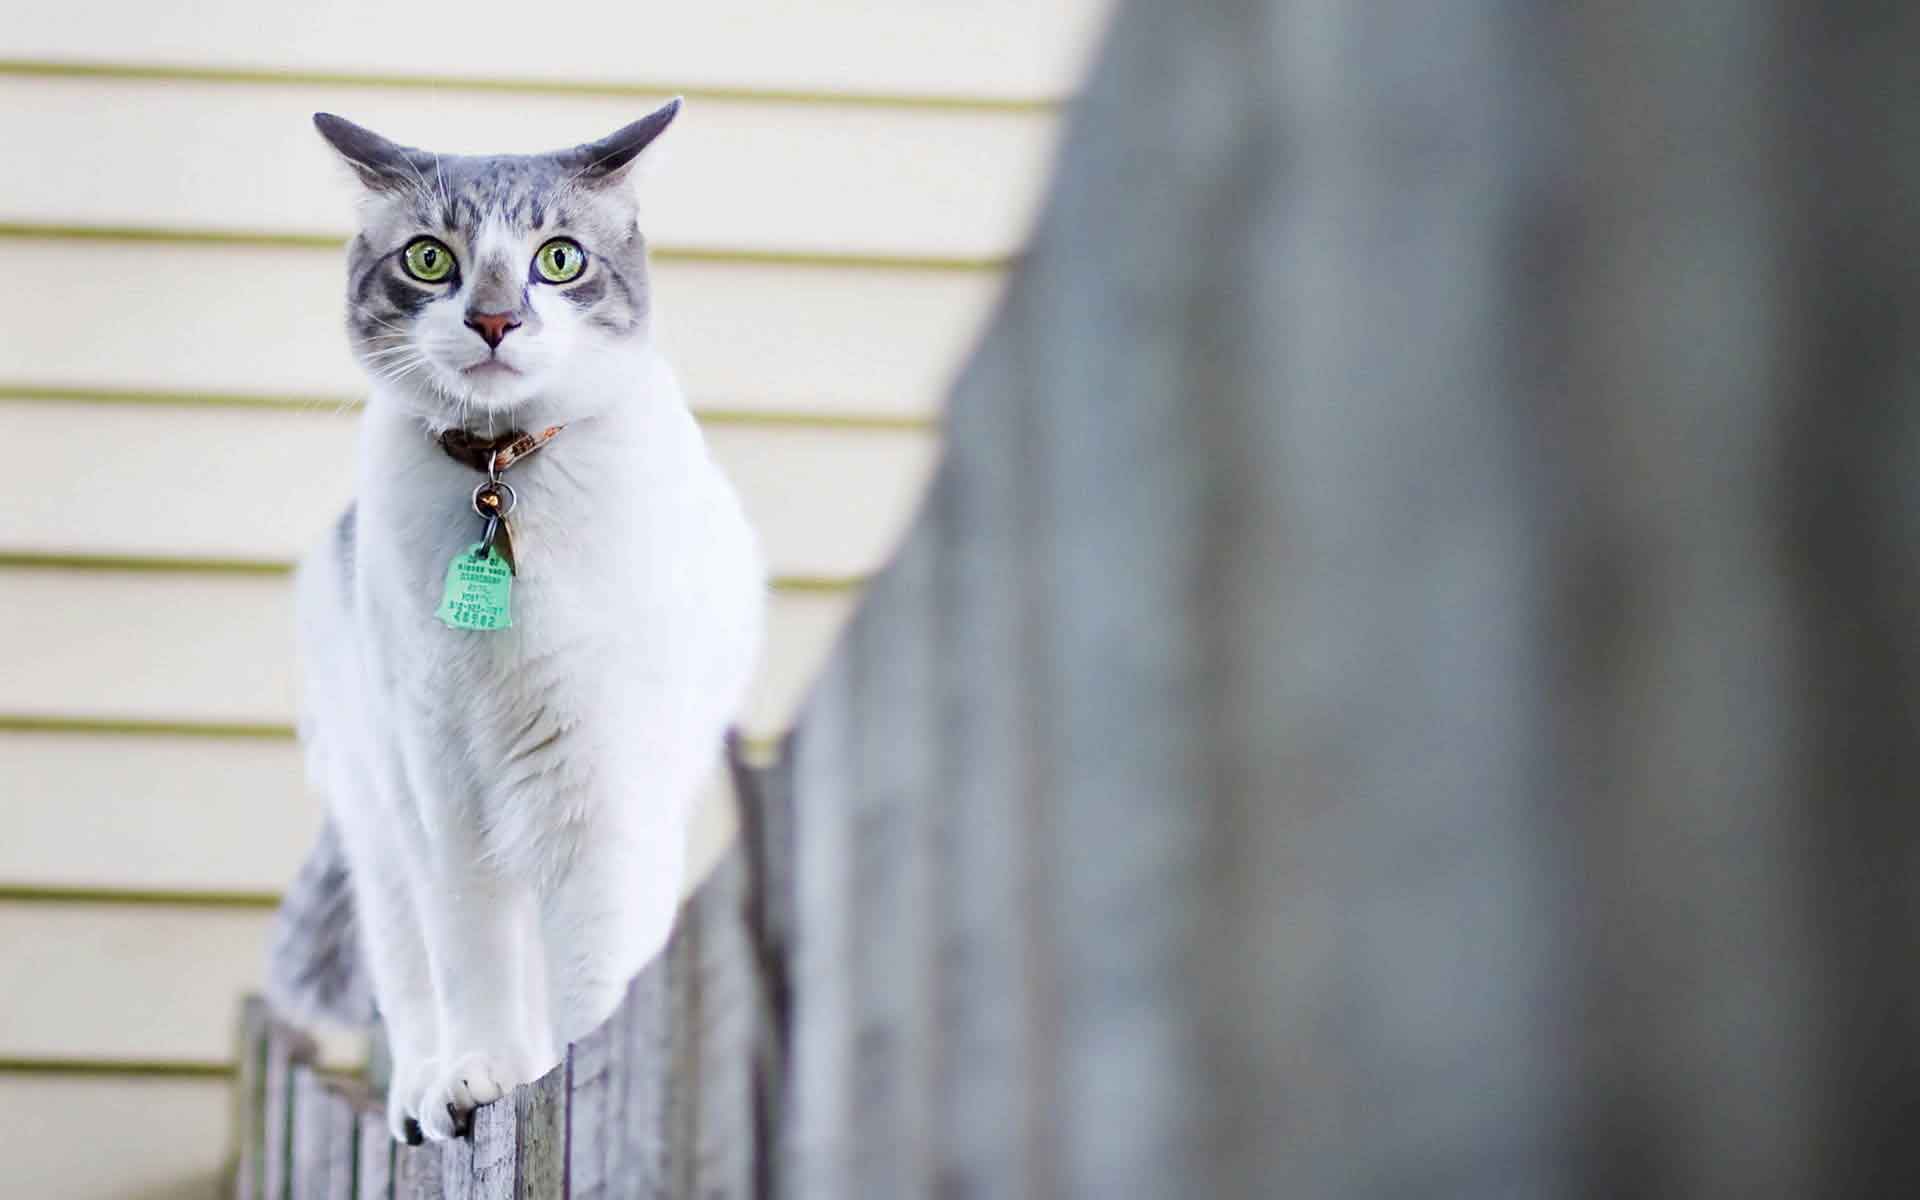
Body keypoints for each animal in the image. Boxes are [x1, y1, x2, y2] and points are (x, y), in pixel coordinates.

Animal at [270, 102, 764, 1144]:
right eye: (430, 260)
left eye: (559, 260)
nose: (496, 320)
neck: (501, 478)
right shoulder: (442, 781)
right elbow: (474, 956)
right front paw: (480, 1077)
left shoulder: (602, 778)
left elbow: (597, 960)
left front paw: (584, 1075)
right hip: (380, 820)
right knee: (413, 976)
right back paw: (422, 1095)